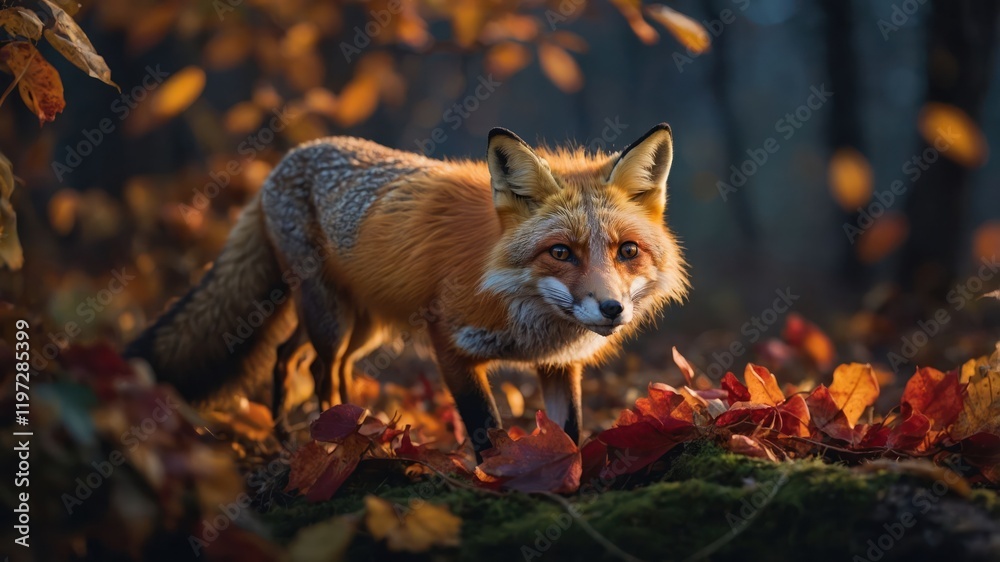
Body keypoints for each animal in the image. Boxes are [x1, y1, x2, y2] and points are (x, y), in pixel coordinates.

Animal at [125, 123, 689, 457]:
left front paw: (566, 482)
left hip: (362, 327)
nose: (611, 309)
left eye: (627, 251)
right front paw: (504, 483)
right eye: (561, 253)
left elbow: (569, 432)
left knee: (293, 356)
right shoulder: (451, 345)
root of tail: (286, 160)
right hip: (332, 318)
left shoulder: (558, 365)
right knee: (319, 371)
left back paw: (314, 433)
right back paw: (339, 446)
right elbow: (485, 427)